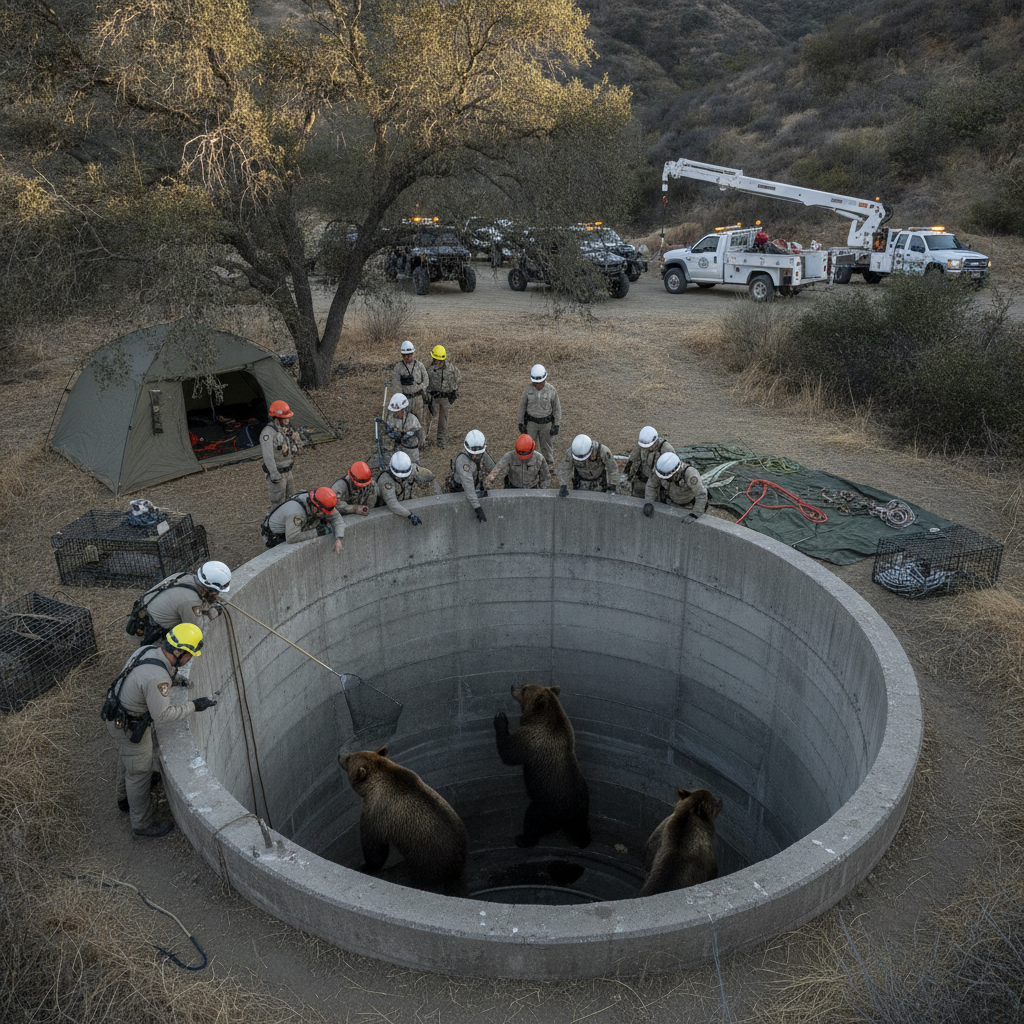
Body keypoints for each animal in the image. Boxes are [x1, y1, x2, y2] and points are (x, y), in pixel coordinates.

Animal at [339, 747, 468, 890]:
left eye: (349, 758)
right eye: (352, 753)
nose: (339, 755)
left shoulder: (377, 812)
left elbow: (375, 848)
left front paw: (366, 867)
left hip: (427, 861)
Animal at [493, 683, 591, 849]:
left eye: (525, 688)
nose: (513, 686)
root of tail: (570, 814)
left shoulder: (531, 739)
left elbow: (509, 753)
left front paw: (500, 718)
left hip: (547, 807)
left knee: (532, 821)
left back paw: (522, 839)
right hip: (582, 809)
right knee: (580, 828)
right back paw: (583, 838)